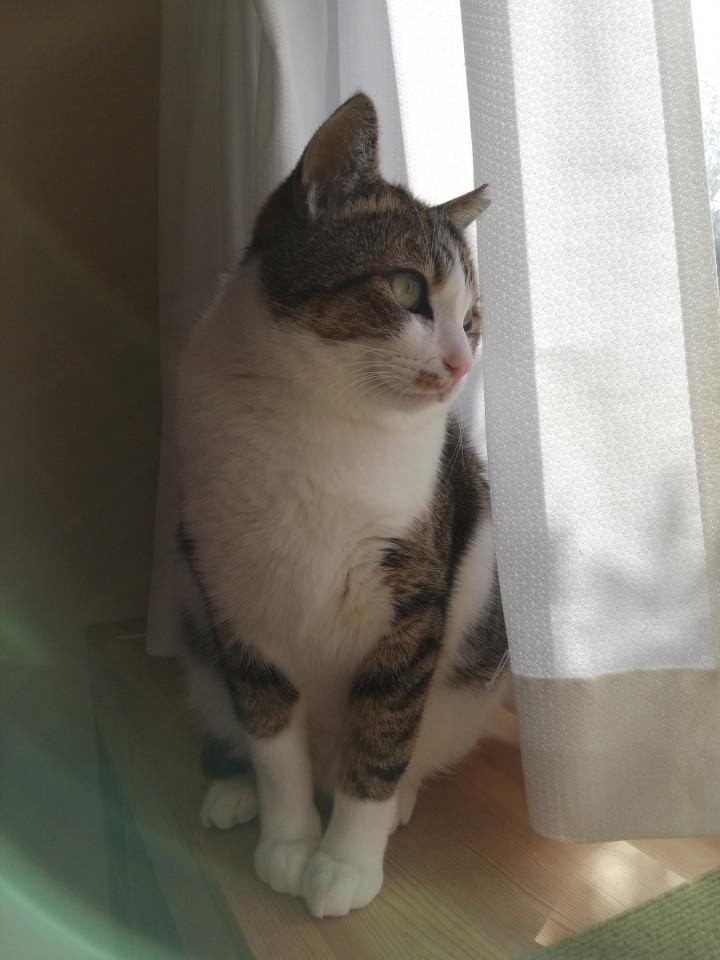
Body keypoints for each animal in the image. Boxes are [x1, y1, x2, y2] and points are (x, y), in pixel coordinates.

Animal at [175, 93, 508, 919]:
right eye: (407, 289)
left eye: (472, 319)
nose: (461, 363)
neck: (318, 421)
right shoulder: (236, 600)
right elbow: (272, 740)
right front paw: (288, 842)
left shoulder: (412, 599)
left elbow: (383, 731)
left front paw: (345, 863)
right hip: (196, 622)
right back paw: (235, 791)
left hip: (469, 665)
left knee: (407, 747)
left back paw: (396, 807)